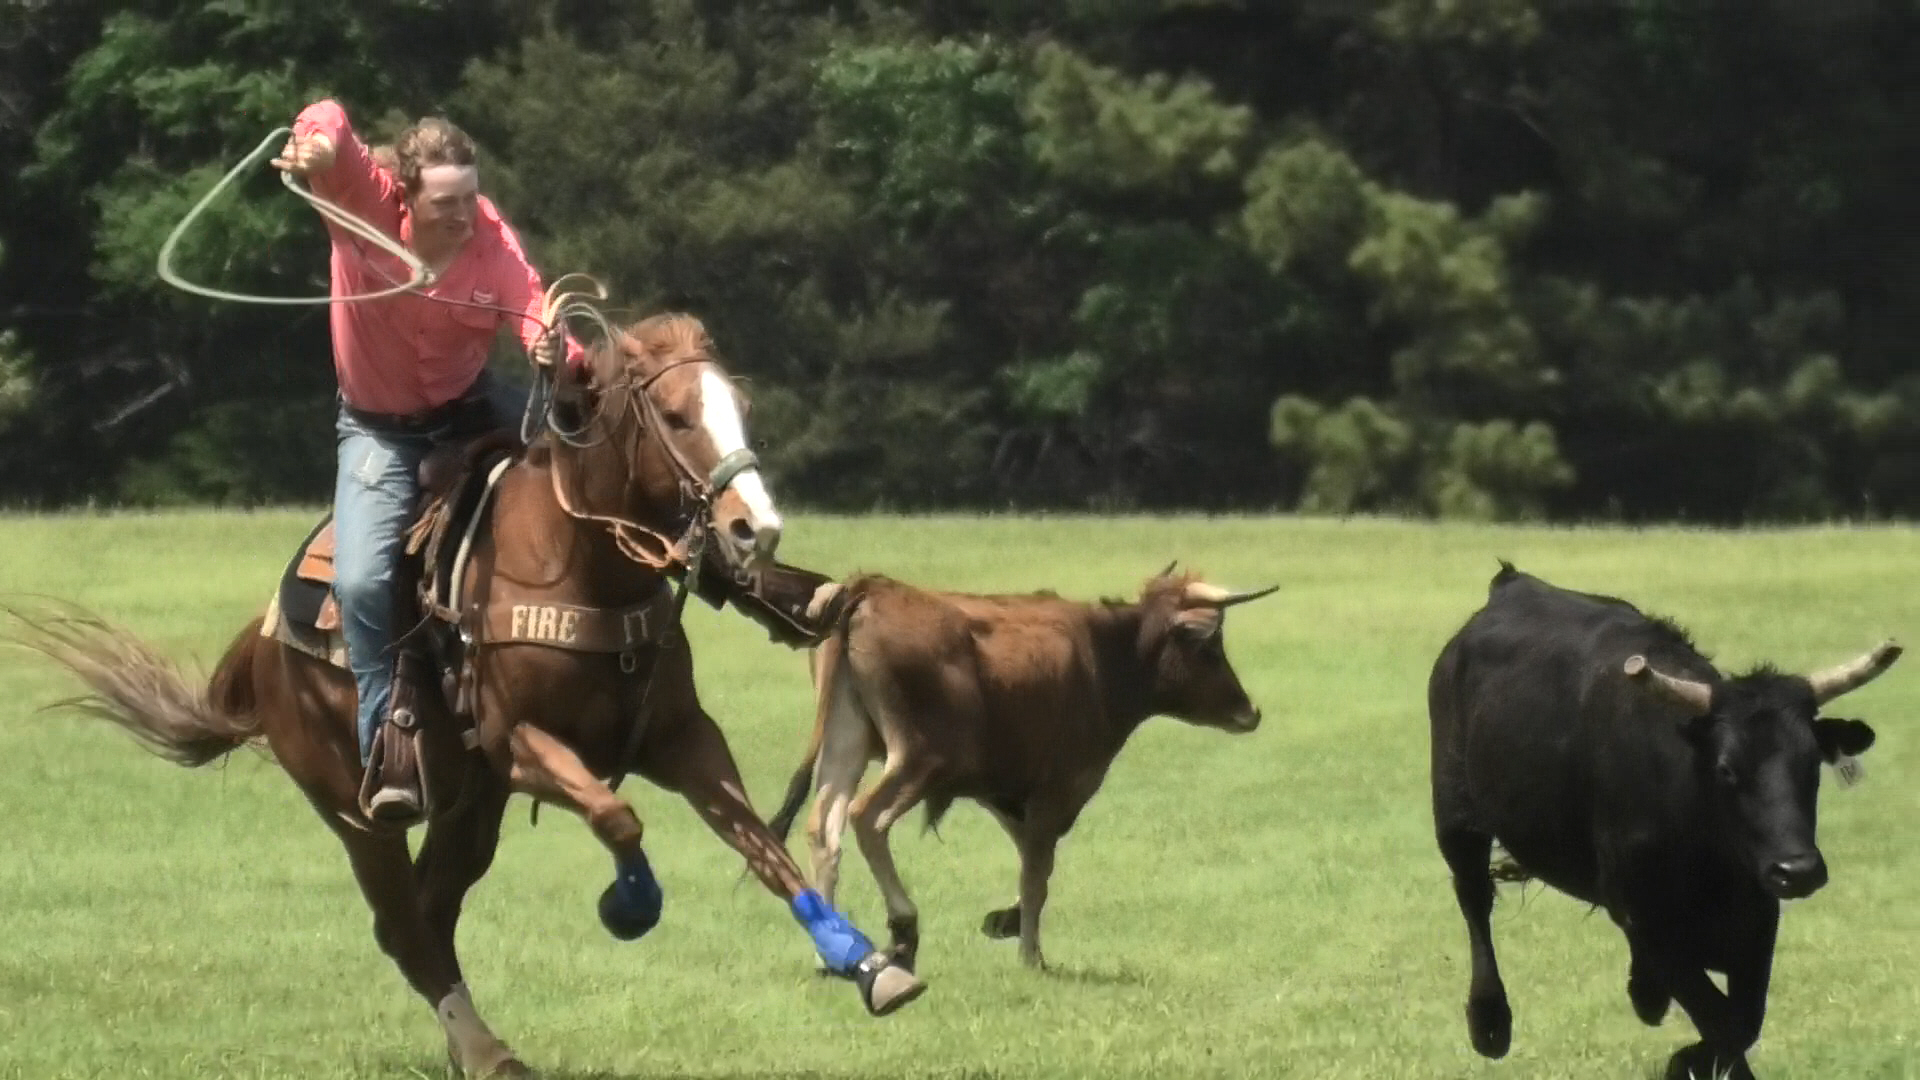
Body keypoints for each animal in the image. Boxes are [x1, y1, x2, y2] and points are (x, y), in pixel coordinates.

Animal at [0, 307, 929, 1068]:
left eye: (740, 407)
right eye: (674, 417)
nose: (753, 529)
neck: (580, 565)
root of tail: (262, 646)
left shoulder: (680, 738)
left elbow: (762, 846)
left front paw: (867, 963)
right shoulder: (522, 746)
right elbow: (618, 816)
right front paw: (630, 904)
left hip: (468, 806)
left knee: (433, 911)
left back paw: (469, 1044)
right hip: (355, 809)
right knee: (404, 926)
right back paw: (486, 1051)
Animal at [764, 564, 1274, 968]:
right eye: (1209, 645)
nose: (1250, 712)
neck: (1106, 655)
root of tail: (870, 589)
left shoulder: (1004, 792)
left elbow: (1029, 858)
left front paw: (1006, 921)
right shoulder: (1055, 791)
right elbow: (1037, 876)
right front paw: (1031, 954)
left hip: (845, 744)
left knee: (823, 829)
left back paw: (829, 952)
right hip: (919, 759)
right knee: (867, 818)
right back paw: (903, 926)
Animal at [1428, 564, 1889, 1076]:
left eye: (1811, 764)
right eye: (1726, 769)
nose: (1799, 871)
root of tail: (1510, 585)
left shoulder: (1757, 916)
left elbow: (1744, 1020)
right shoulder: (1645, 918)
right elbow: (1724, 1022)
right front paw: (1685, 1060)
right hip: (1455, 815)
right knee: (1474, 898)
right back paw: (1489, 1020)